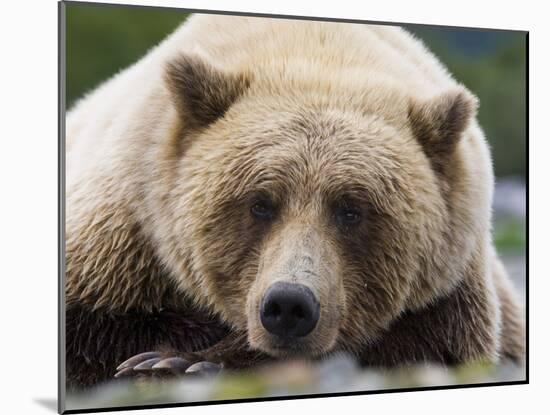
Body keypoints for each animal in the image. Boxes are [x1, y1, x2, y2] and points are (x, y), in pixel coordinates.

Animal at [64, 13, 528, 390]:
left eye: (351, 209)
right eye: (259, 203)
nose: (289, 305)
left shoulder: (447, 291)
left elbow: (417, 345)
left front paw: (181, 362)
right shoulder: (128, 231)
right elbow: (87, 330)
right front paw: (159, 359)